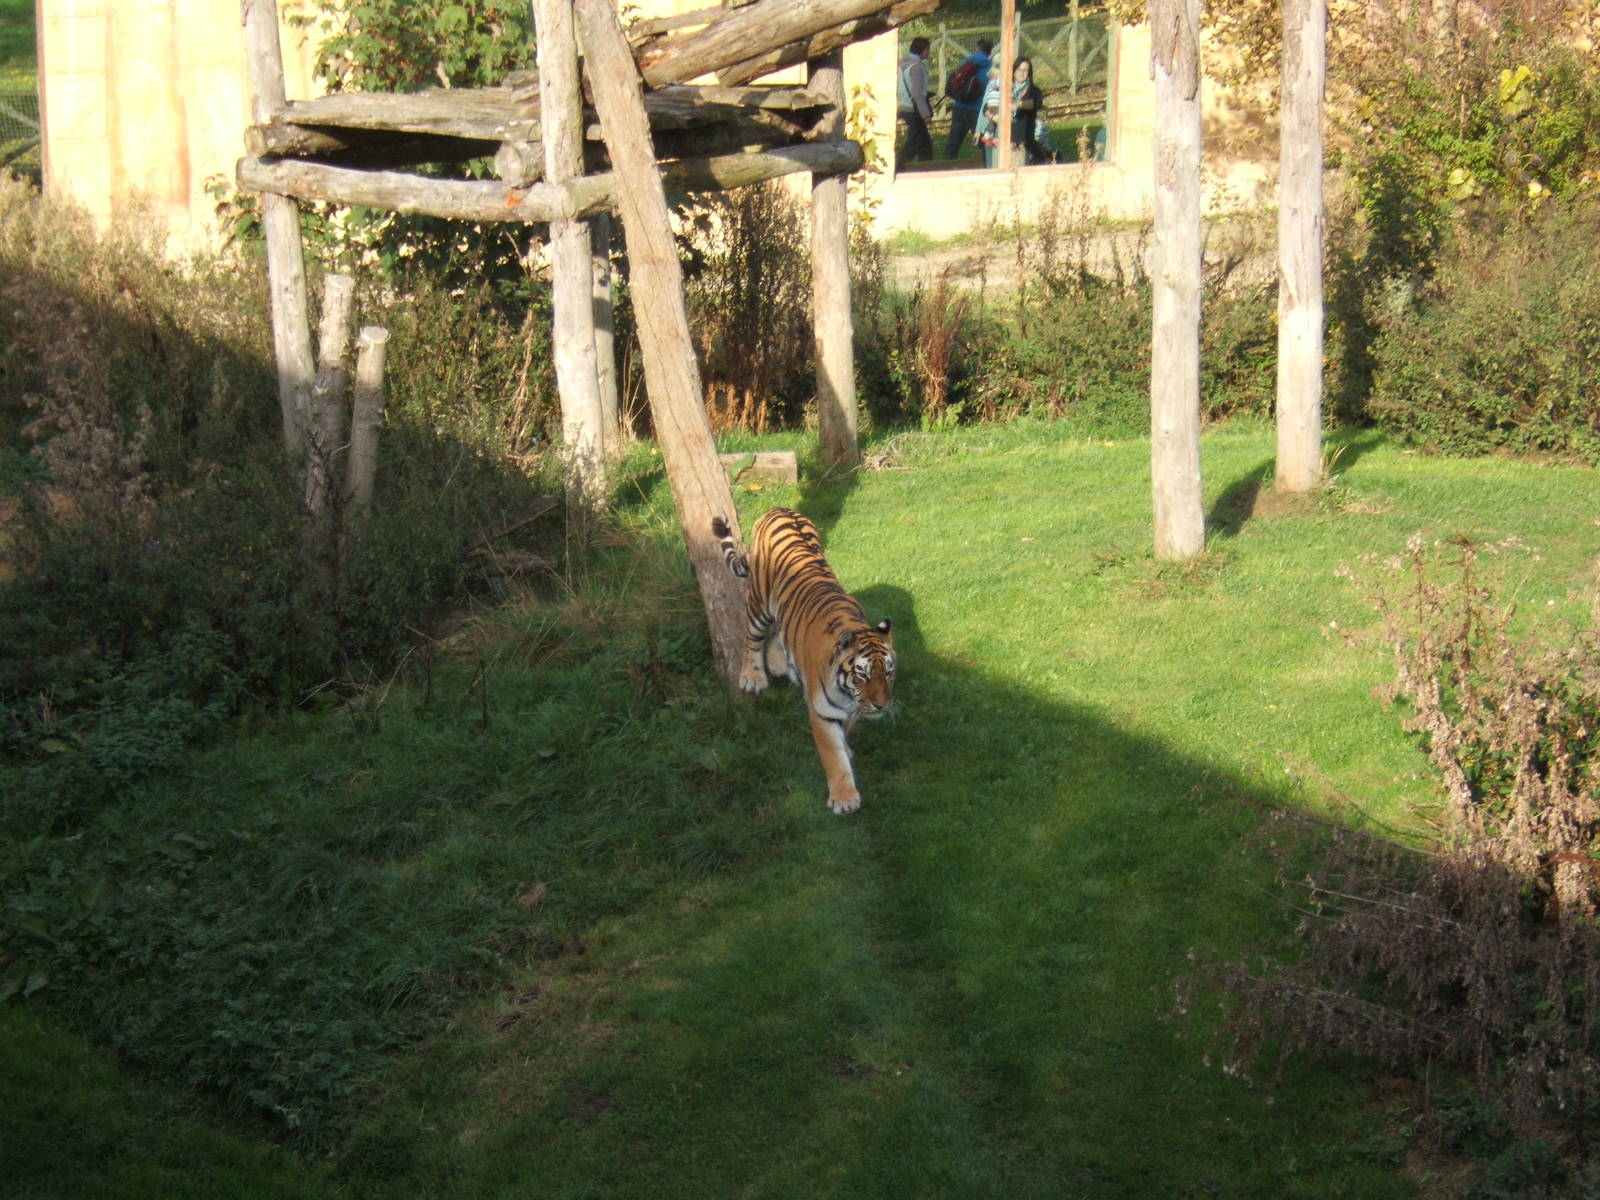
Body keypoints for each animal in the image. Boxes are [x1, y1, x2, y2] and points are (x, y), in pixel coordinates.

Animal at [711, 508, 895, 816]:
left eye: (889, 673)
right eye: (862, 675)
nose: (882, 705)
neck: (848, 694)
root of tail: (777, 509)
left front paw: (848, 750)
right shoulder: (823, 713)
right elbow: (833, 756)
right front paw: (844, 798)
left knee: (778, 632)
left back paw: (777, 664)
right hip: (759, 602)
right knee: (751, 638)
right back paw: (753, 676)